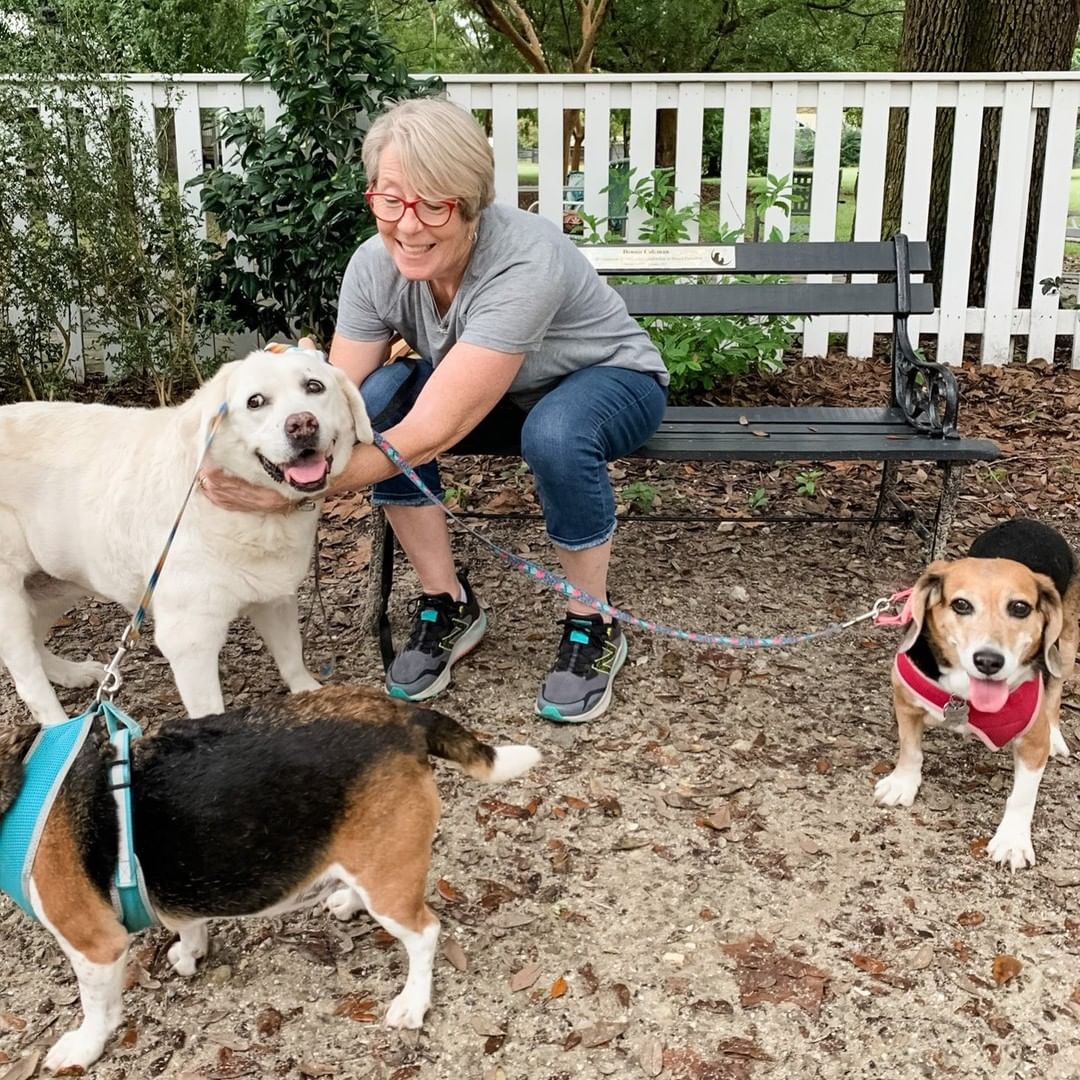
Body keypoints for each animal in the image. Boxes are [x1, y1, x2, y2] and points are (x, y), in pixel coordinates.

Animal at [0, 347, 373, 725]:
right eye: (255, 401)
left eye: (314, 386)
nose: (302, 425)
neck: (256, 520)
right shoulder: (190, 639)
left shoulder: (274, 597)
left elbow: (291, 655)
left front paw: (310, 694)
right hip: (10, 601)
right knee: (28, 680)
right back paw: (61, 729)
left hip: (57, 582)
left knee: (35, 641)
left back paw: (71, 674)